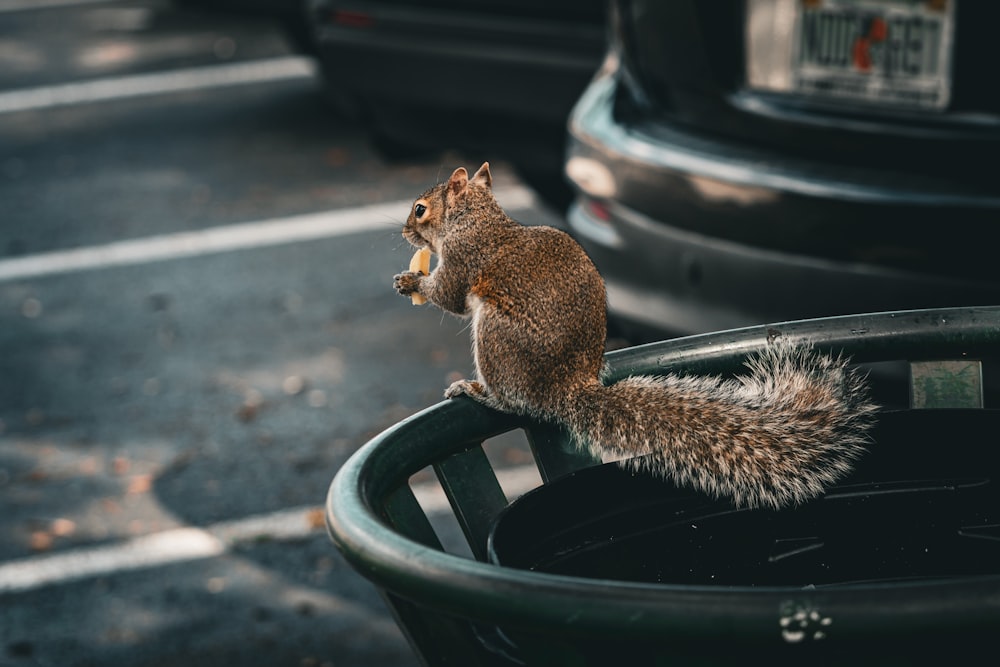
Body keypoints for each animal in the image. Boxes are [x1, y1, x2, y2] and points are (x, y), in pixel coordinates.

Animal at [394, 164, 880, 508]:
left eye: (420, 209)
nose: (403, 231)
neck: (475, 218)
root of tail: (566, 389)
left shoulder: (464, 258)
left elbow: (449, 295)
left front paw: (413, 282)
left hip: (495, 339)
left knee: (512, 400)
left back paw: (477, 389)